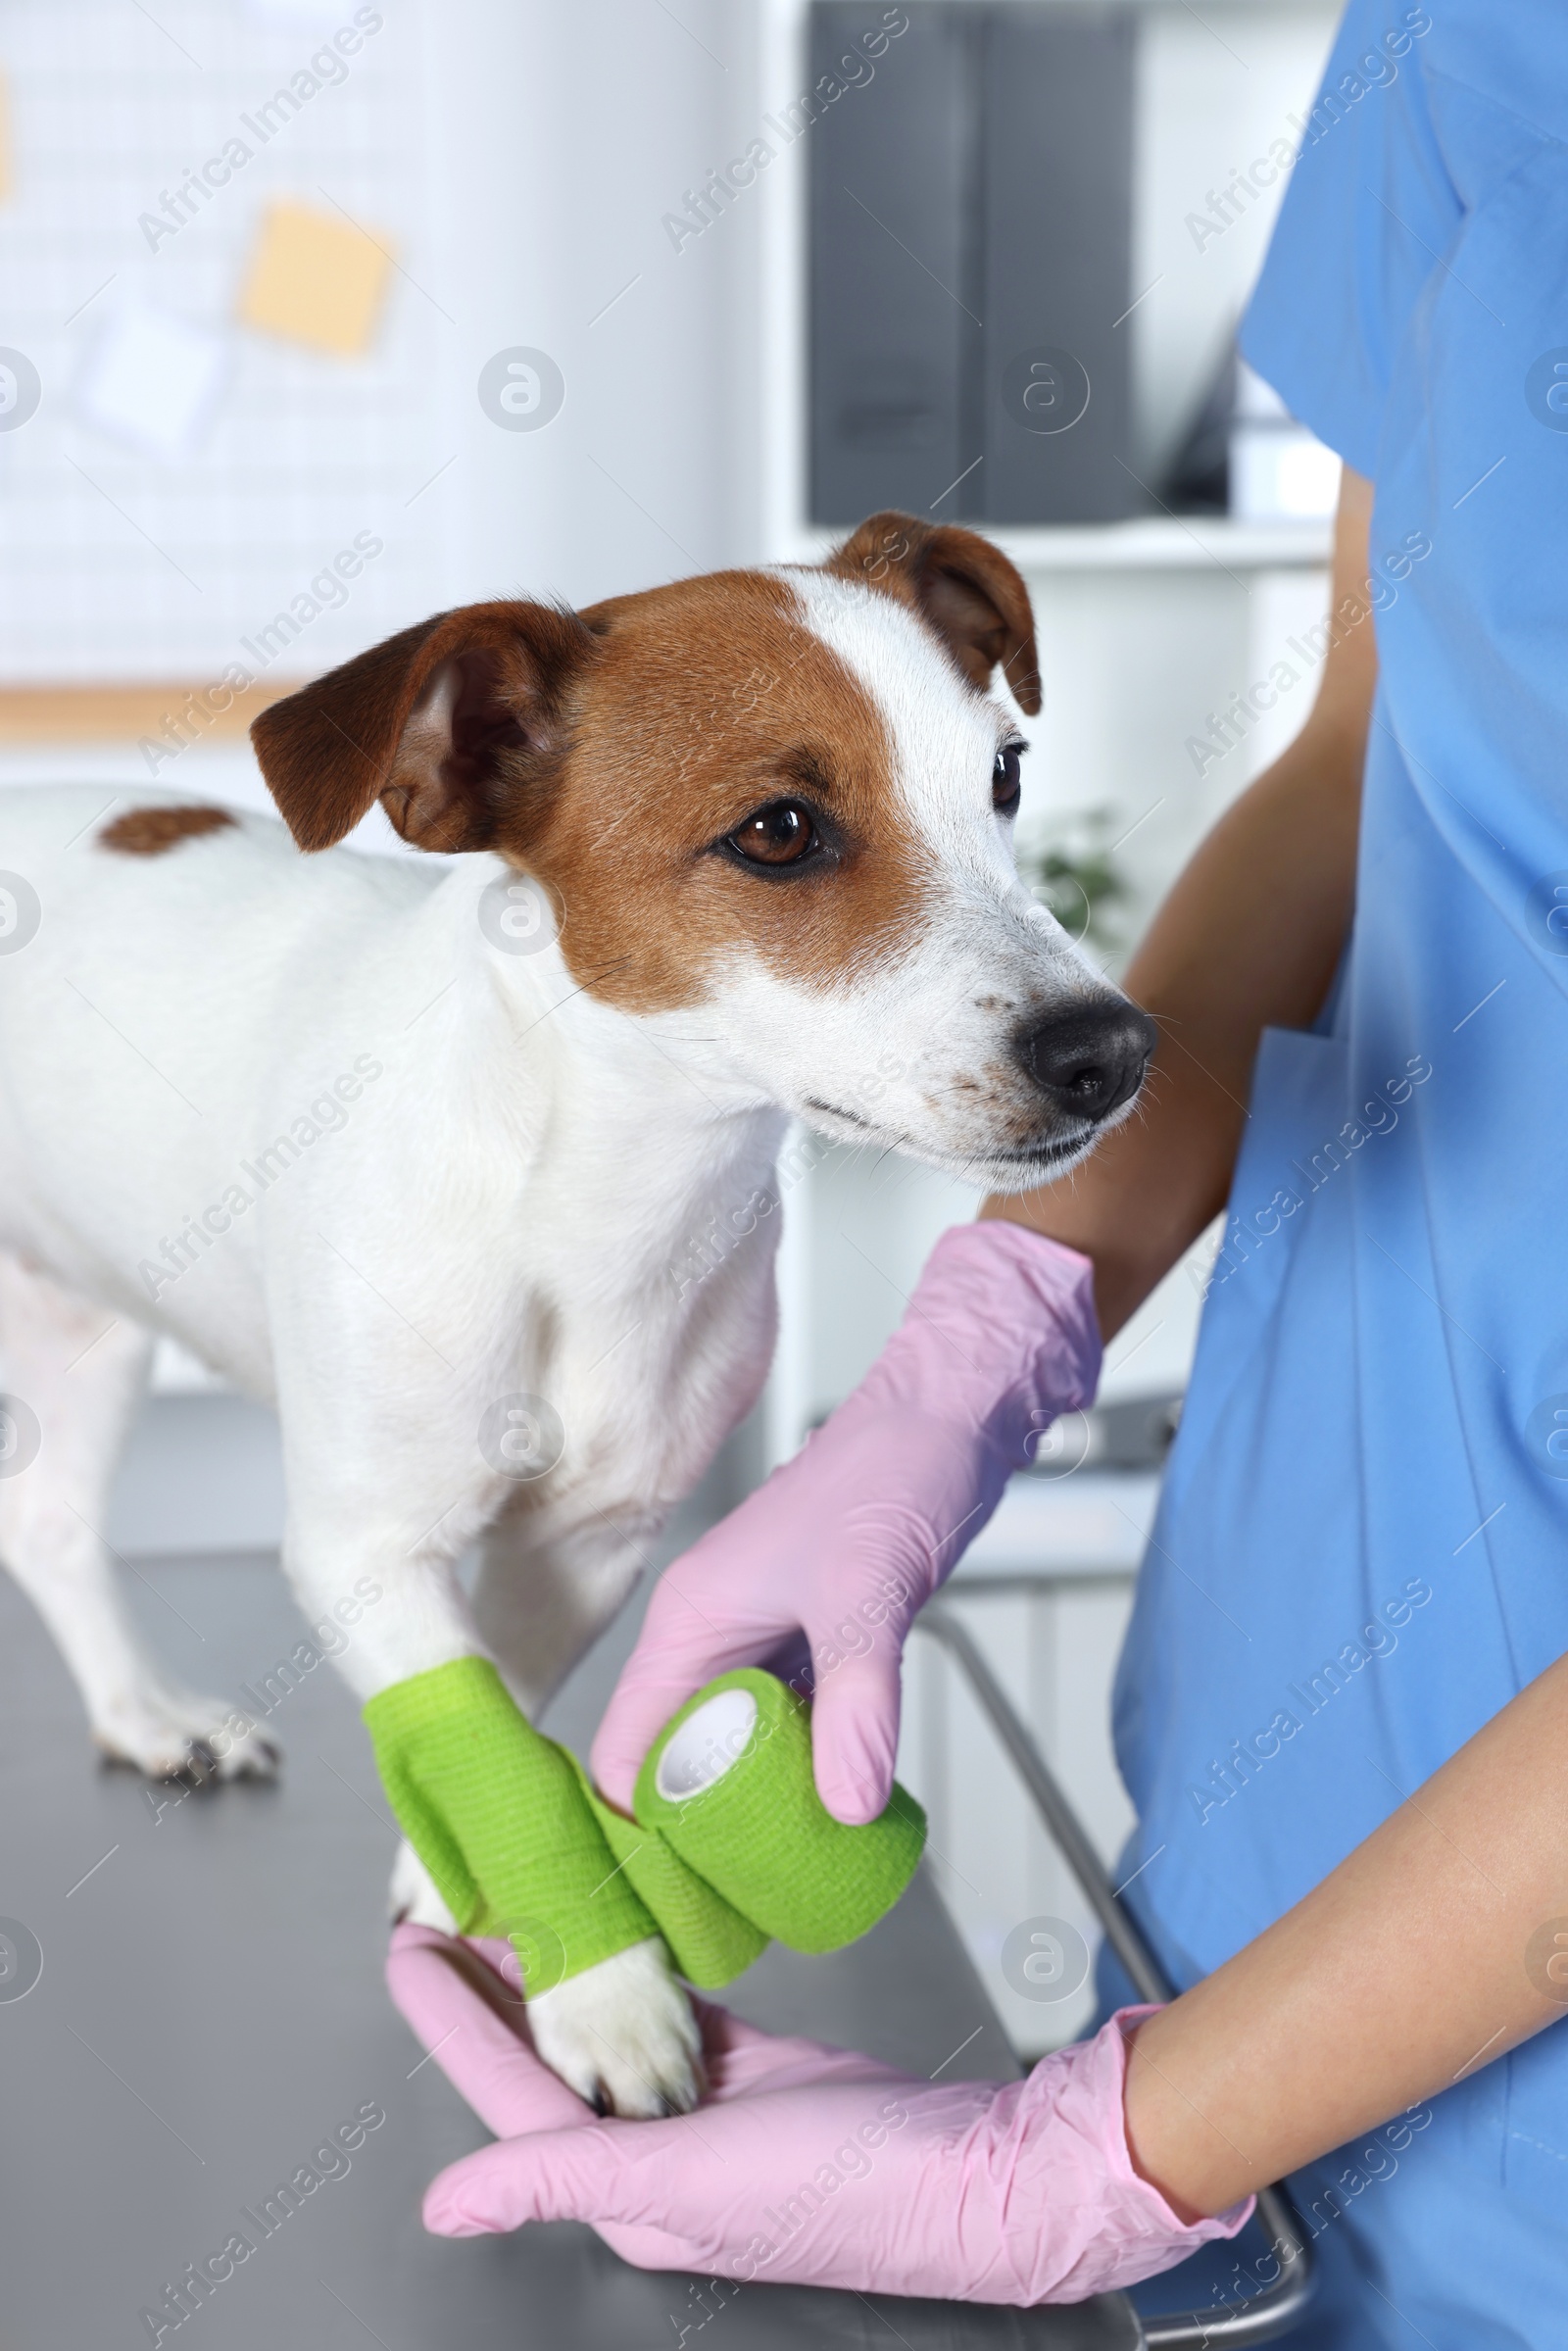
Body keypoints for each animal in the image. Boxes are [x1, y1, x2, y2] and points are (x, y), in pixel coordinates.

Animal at [0, 510, 1152, 2116]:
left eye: (1004, 775)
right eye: (779, 830)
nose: (1113, 1048)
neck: (594, 1201)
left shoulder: (594, 1537)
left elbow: (511, 1701)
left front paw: (458, 1878)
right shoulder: (364, 1545)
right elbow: (482, 1723)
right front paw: (602, 1990)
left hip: (86, 1317)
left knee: (45, 1526)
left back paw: (143, 1713)